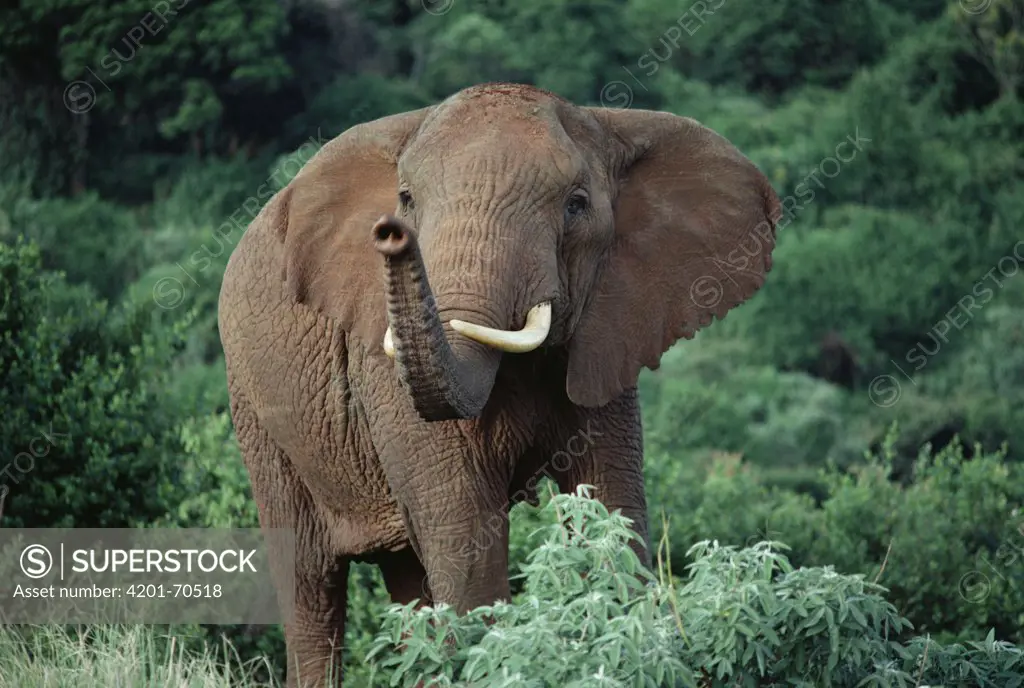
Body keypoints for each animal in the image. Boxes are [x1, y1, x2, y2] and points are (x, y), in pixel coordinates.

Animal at [216, 83, 774, 683]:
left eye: (576, 204)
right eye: (406, 199)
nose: (389, 232)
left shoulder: (607, 336)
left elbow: (611, 507)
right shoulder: (384, 369)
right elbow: (465, 534)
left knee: (405, 579)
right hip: (254, 408)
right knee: (310, 590)